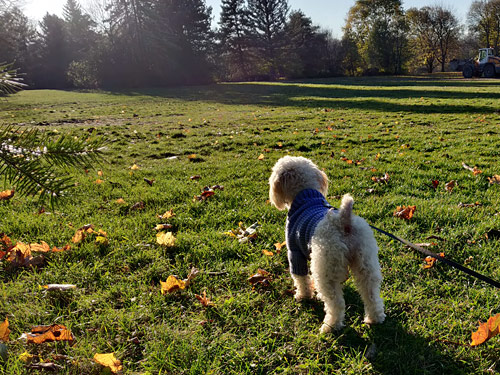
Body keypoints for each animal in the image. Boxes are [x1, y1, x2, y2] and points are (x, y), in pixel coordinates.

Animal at [272, 157, 384, 334]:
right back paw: (374, 319)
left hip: (326, 268)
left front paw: (303, 296)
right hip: (366, 262)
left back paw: (330, 327)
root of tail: (344, 221)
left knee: (336, 303)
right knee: (371, 294)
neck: (305, 195)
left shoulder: (294, 252)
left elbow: (301, 278)